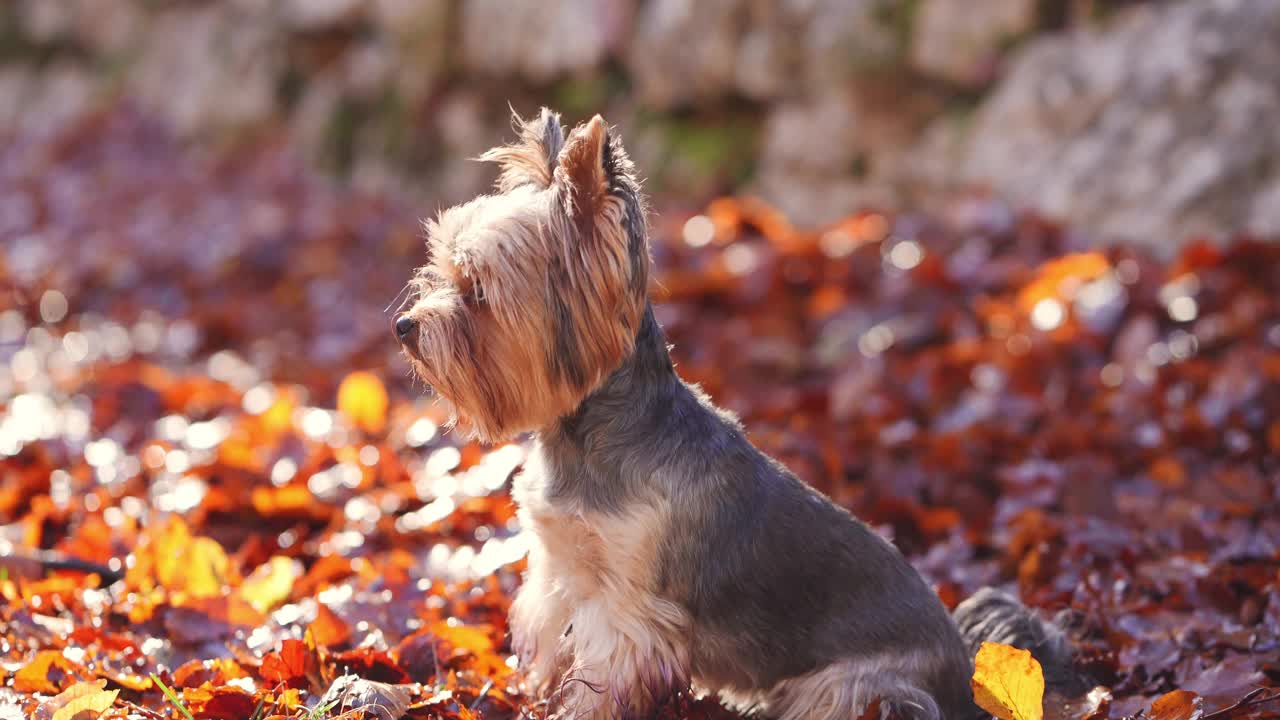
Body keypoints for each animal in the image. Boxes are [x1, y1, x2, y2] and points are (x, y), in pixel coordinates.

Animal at [396, 107, 1080, 717]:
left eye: (478, 291)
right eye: (440, 268)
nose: (405, 326)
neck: (587, 432)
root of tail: (966, 676)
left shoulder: (628, 611)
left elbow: (600, 685)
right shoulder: (560, 575)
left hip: (850, 686)